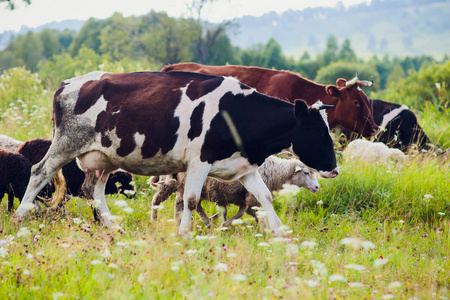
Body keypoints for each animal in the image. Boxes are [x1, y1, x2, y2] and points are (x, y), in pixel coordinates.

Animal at [150, 156, 320, 226]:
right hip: (171, 184)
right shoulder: (249, 199)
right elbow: (245, 214)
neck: (276, 172)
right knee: (157, 201)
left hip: (183, 186)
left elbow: (241, 212)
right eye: (306, 172)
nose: (317, 187)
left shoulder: (242, 199)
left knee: (185, 205)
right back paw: (155, 221)